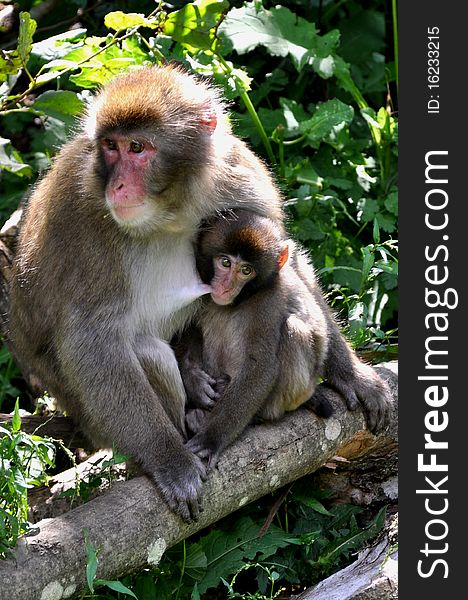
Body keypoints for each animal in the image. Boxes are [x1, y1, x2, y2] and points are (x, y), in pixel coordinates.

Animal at [179, 209, 392, 466]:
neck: (240, 299)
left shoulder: (268, 301)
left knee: (292, 330)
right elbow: (187, 328)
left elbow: (260, 365)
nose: (225, 286)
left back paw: (256, 415)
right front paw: (194, 381)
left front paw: (211, 439)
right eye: (225, 262)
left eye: (246, 270)